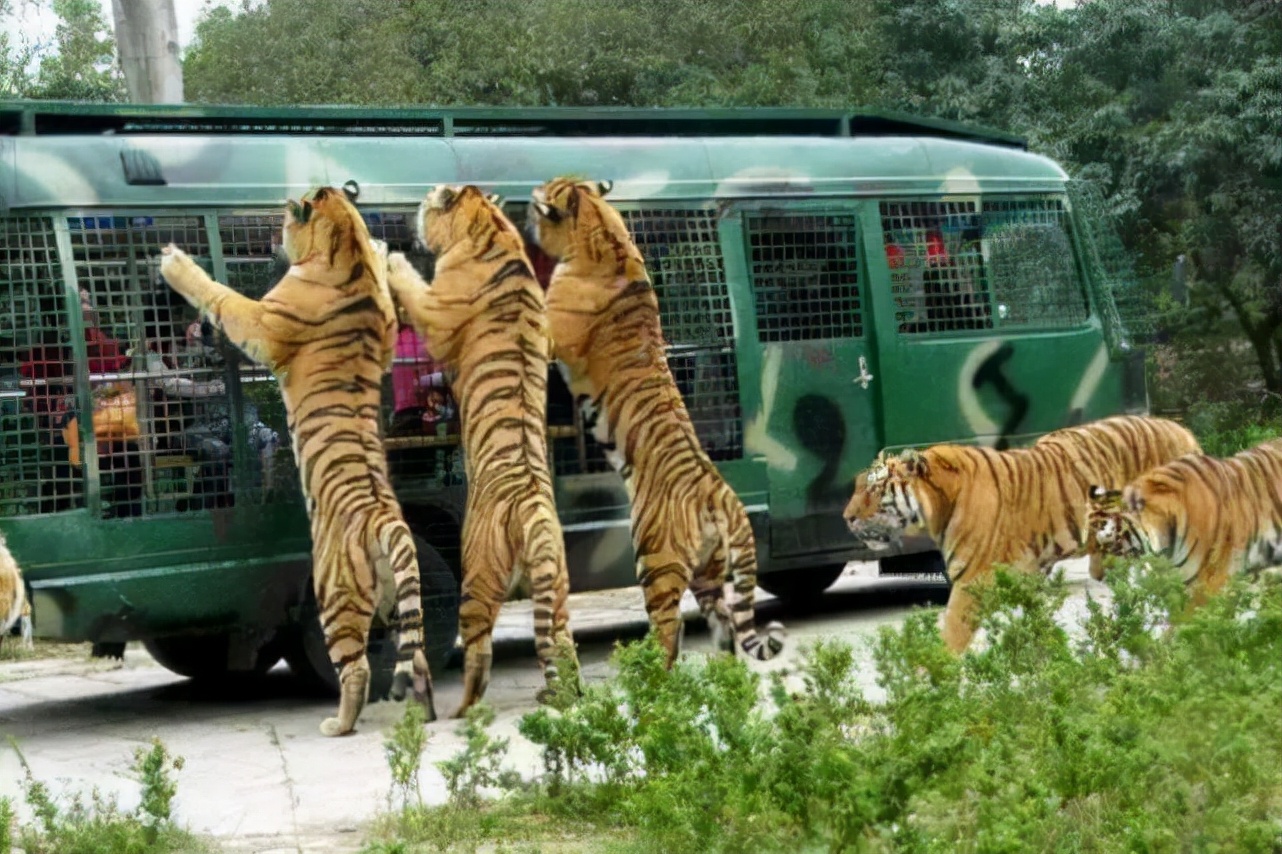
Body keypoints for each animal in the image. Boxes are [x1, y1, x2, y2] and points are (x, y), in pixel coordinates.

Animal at [155, 185, 433, 733]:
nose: (269, 231)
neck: (346, 255)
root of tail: (386, 521)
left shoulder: (262, 321)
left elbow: (222, 297)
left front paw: (176, 264)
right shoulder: (386, 332)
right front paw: (387, 254)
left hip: (333, 594)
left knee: (356, 668)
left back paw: (338, 725)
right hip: (400, 597)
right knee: (419, 658)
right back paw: (430, 712)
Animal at [379, 185, 582, 718]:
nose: (413, 213)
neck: (490, 229)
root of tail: (533, 511)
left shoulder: (435, 312)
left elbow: (413, 286)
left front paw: (390, 259)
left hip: (477, 576)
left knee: (479, 656)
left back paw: (460, 711)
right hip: (557, 586)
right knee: (561, 643)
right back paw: (562, 695)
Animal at [840, 415, 1199, 648]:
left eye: (873, 490)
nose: (846, 518)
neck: (939, 505)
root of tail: (1184, 432)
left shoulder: (972, 582)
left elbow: (951, 635)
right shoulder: (1025, 578)